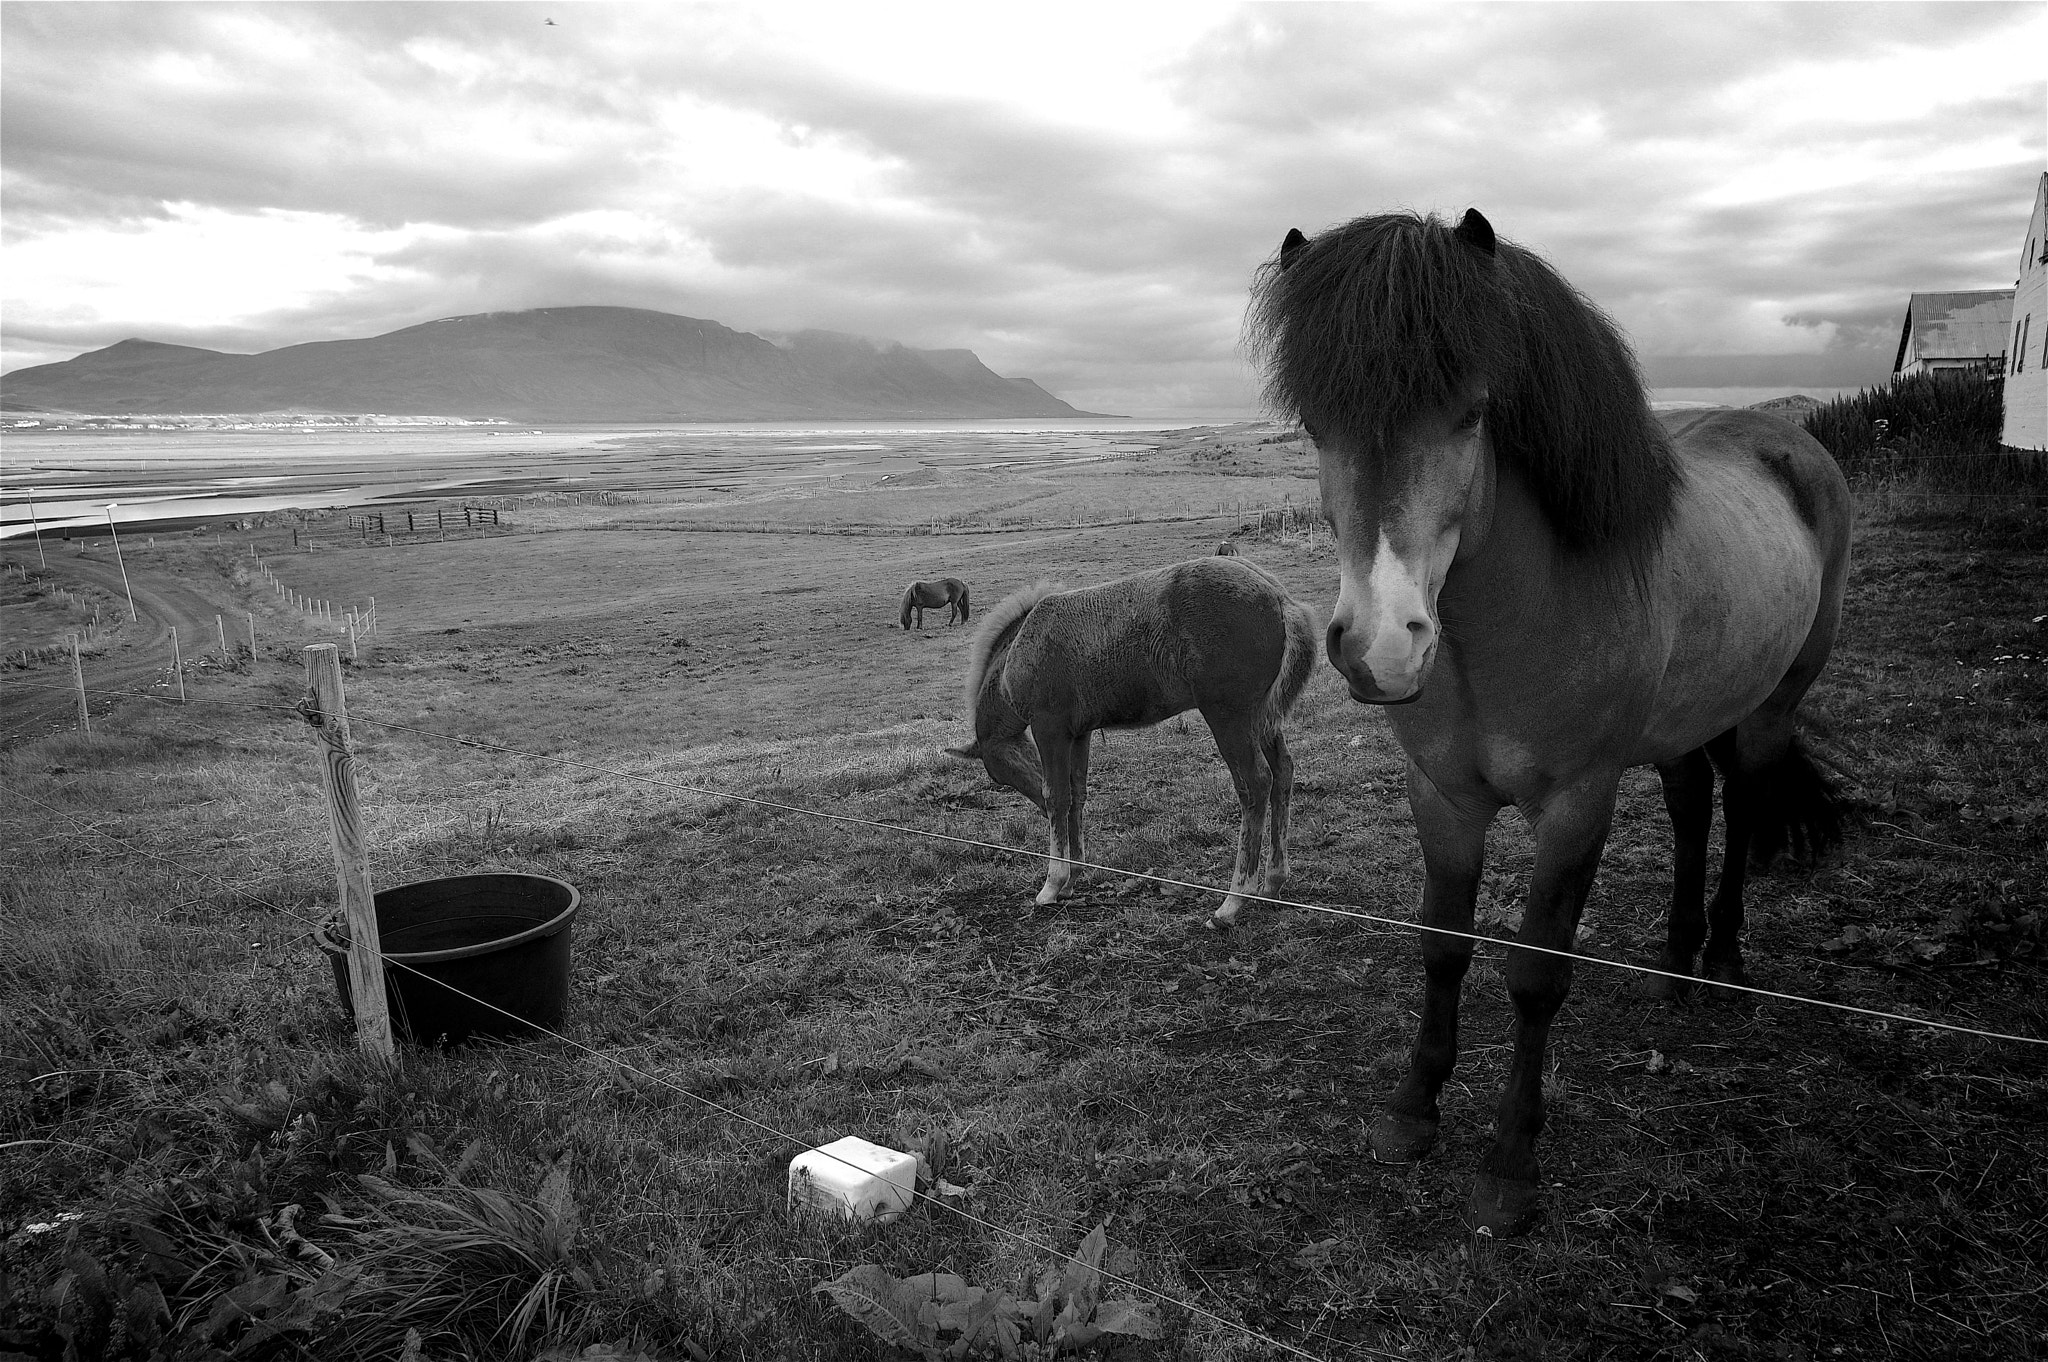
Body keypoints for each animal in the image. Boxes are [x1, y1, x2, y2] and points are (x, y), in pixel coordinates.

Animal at [1245, 209, 1859, 1228]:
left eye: (1472, 412)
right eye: (1313, 424)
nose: (1381, 645)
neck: (1503, 630)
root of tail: (1788, 438)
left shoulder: (1577, 803)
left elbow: (1536, 973)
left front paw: (1508, 1163)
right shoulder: (1442, 797)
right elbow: (1442, 945)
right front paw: (1413, 1110)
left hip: (1770, 705)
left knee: (1740, 805)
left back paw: (1724, 958)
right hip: (1682, 724)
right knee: (1691, 803)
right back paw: (1675, 961)